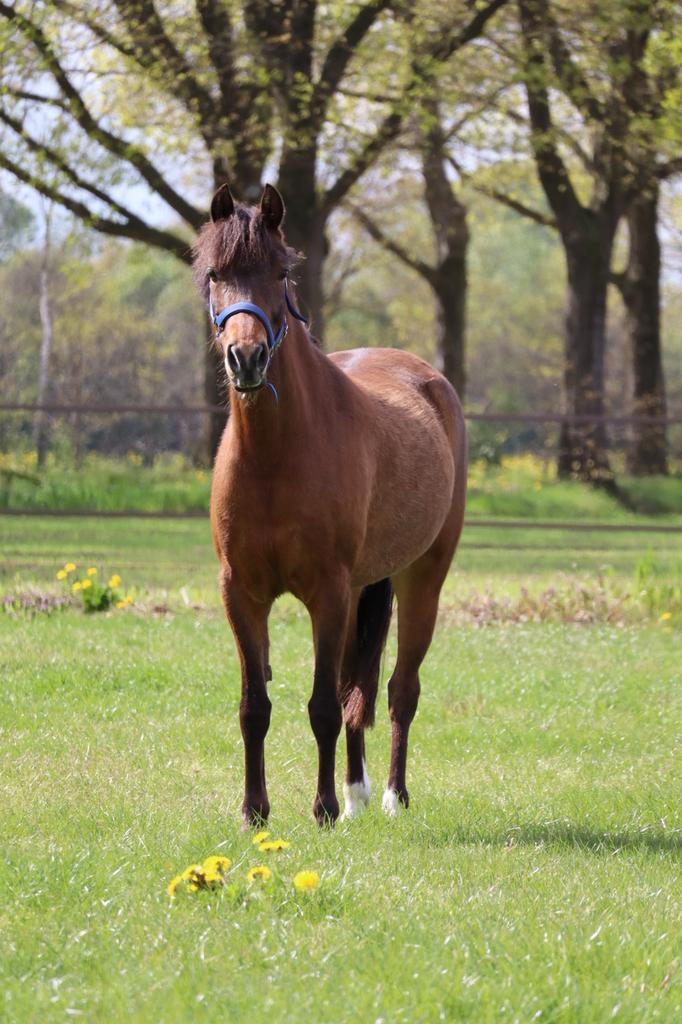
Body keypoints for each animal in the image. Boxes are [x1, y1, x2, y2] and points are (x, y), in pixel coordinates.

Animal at [192, 182, 467, 825]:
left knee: (397, 690)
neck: (276, 456)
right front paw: (255, 811)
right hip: (363, 589)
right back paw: (357, 792)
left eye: (280, 272)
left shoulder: (328, 592)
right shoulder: (240, 593)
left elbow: (321, 704)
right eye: (215, 273)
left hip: (422, 577)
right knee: (354, 688)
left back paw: (390, 796)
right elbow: (255, 706)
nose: (247, 358)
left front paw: (320, 810)